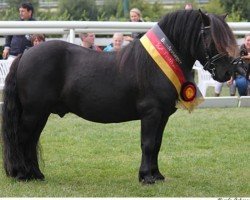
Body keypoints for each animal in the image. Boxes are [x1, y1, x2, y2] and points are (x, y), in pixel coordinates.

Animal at [0, 10, 237, 184]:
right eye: (212, 39)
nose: (227, 72)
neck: (157, 64)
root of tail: (25, 55)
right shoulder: (151, 114)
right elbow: (148, 144)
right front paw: (146, 177)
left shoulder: (162, 116)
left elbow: (157, 144)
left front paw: (157, 175)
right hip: (34, 112)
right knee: (23, 139)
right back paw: (23, 175)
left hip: (40, 113)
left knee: (31, 140)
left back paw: (36, 174)